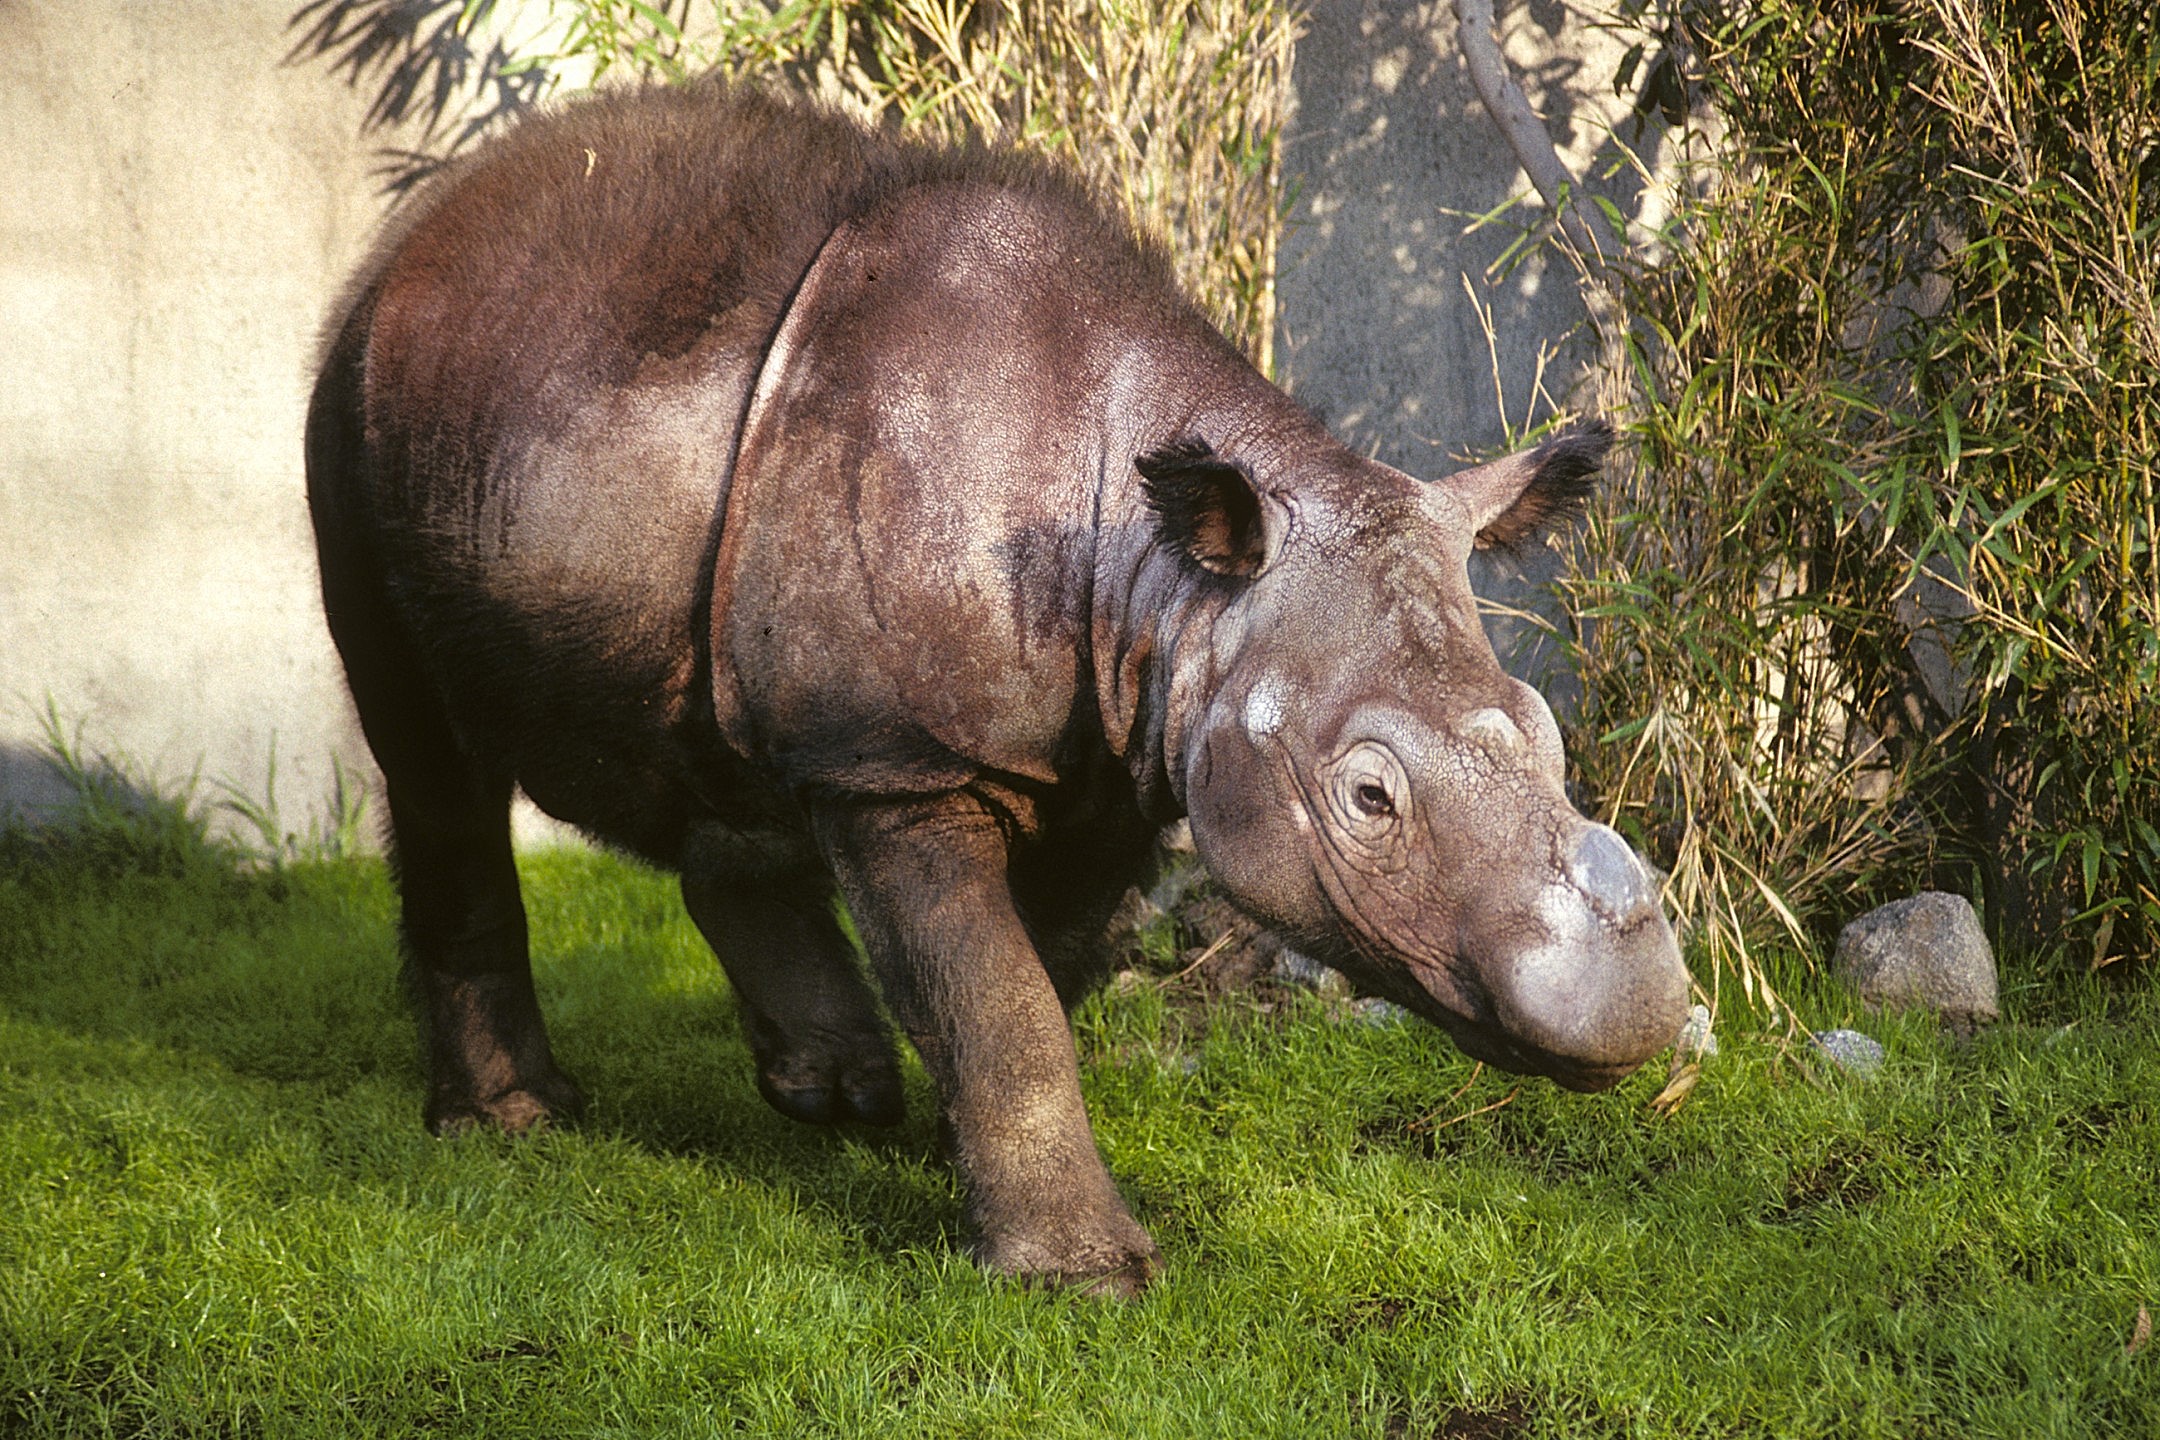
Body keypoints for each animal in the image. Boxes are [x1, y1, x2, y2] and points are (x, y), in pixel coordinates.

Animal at [306, 83, 1688, 1293]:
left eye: (1548, 737)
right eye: (1368, 797)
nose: (1637, 1011)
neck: (1171, 579)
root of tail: (420, 230)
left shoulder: (1116, 753)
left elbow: (1035, 976)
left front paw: (954, 1163)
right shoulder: (899, 761)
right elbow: (997, 988)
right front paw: (1082, 1280)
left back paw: (831, 1095)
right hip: (353, 407)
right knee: (430, 760)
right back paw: (515, 1125)